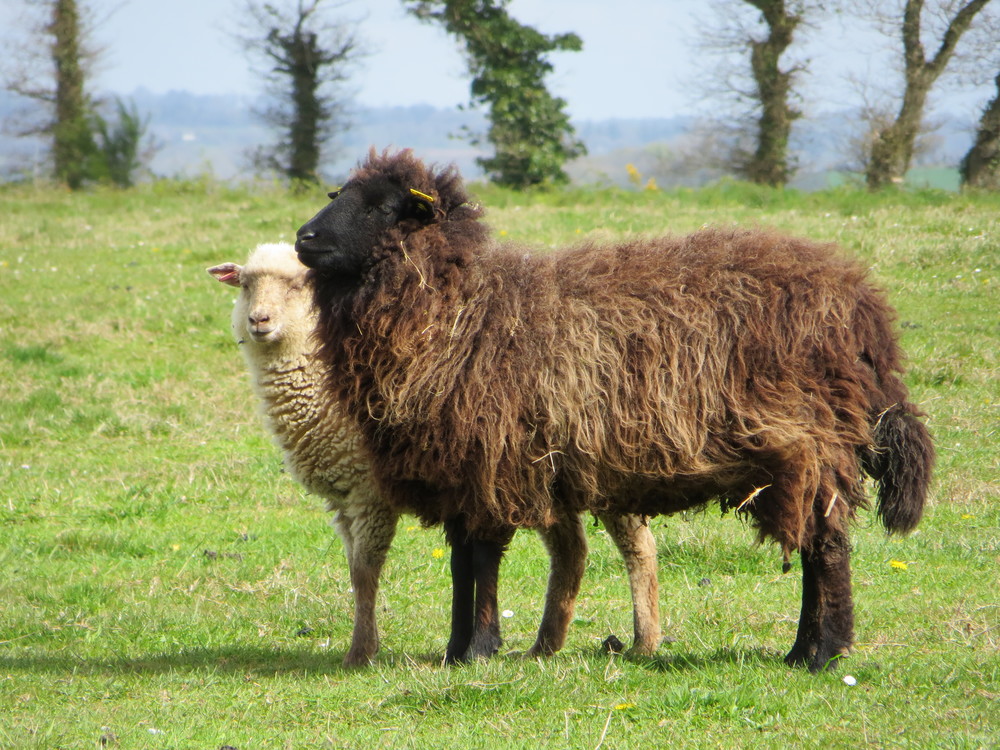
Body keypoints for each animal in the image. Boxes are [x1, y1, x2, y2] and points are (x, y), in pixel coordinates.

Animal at [208, 242, 398, 668]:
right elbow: (353, 572)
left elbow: (366, 571)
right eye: (245, 284)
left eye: (298, 284)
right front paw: (367, 644)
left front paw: (360, 654)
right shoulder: (344, 497)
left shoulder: (371, 492)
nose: (258, 320)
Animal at [292, 150, 932, 672]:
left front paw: (477, 649)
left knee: (826, 548)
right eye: (338, 193)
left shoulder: (495, 461)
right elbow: (462, 564)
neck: (461, 312)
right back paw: (805, 650)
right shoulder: (459, 472)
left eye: (382, 207)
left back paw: (821, 654)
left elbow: (483, 558)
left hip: (809, 445)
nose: (304, 237)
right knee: (820, 544)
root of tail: (865, 310)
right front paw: (456, 649)